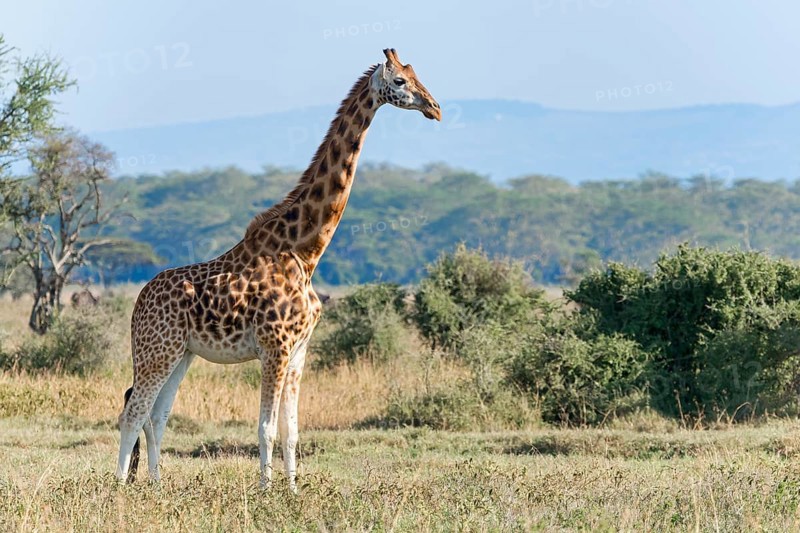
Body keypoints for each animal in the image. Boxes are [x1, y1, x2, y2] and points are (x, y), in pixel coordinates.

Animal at [116, 48, 440, 492]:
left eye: (417, 74)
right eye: (401, 81)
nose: (435, 107)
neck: (305, 252)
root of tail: (137, 305)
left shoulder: (299, 350)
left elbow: (292, 430)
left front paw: (292, 490)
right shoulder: (275, 346)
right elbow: (266, 428)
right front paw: (266, 492)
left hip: (181, 353)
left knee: (157, 417)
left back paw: (156, 487)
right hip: (156, 350)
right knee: (132, 412)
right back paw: (117, 489)